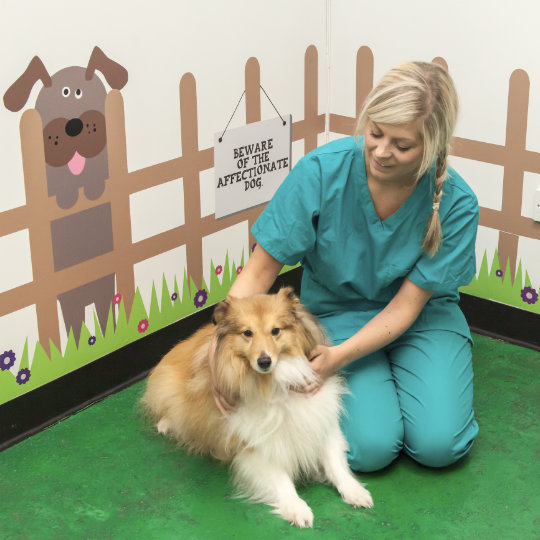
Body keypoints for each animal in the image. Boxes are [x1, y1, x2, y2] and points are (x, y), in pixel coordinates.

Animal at [141, 286, 374, 528]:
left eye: (275, 330)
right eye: (247, 333)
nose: (264, 362)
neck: (273, 383)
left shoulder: (320, 421)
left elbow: (335, 462)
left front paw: (355, 492)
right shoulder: (256, 444)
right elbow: (280, 478)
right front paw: (297, 508)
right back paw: (166, 424)